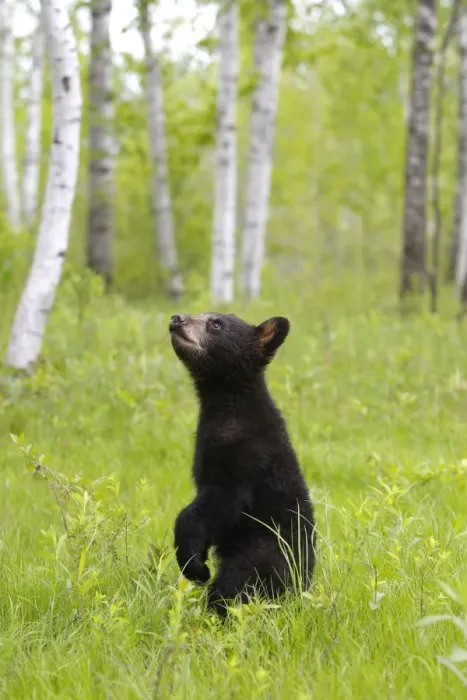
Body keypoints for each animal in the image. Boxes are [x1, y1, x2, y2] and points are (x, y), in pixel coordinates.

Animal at [169, 311, 316, 616]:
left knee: (238, 582)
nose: (177, 318)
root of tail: (303, 587)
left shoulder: (247, 455)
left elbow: (221, 503)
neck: (228, 405)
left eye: (216, 323)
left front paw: (194, 566)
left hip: (265, 550)